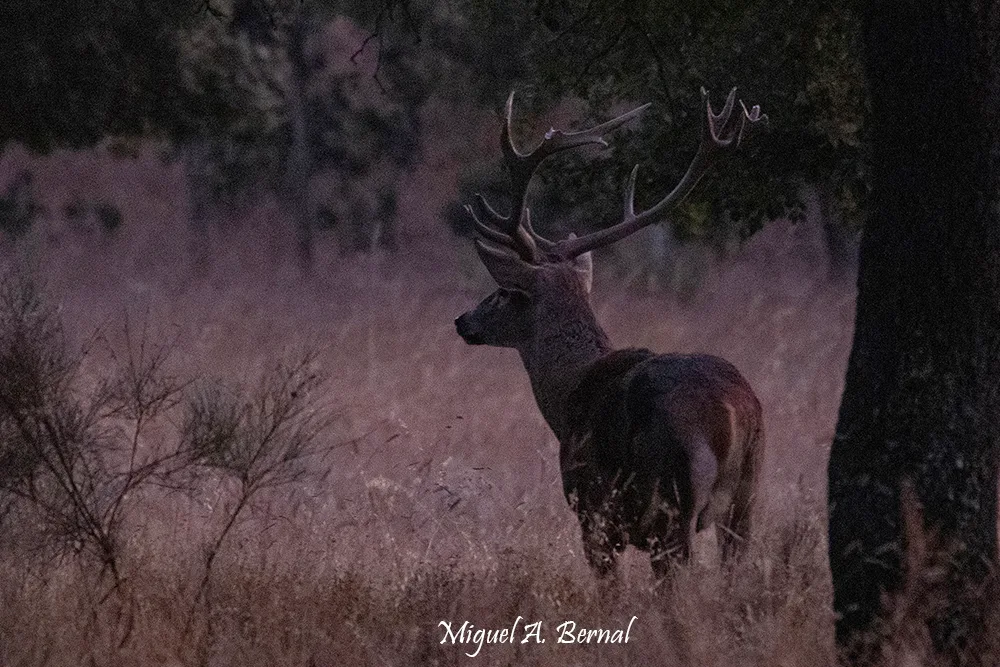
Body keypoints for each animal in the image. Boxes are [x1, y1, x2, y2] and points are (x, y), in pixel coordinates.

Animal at [454, 88, 767, 580]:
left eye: (504, 292)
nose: (463, 321)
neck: (566, 399)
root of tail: (735, 411)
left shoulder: (591, 510)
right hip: (748, 495)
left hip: (671, 498)